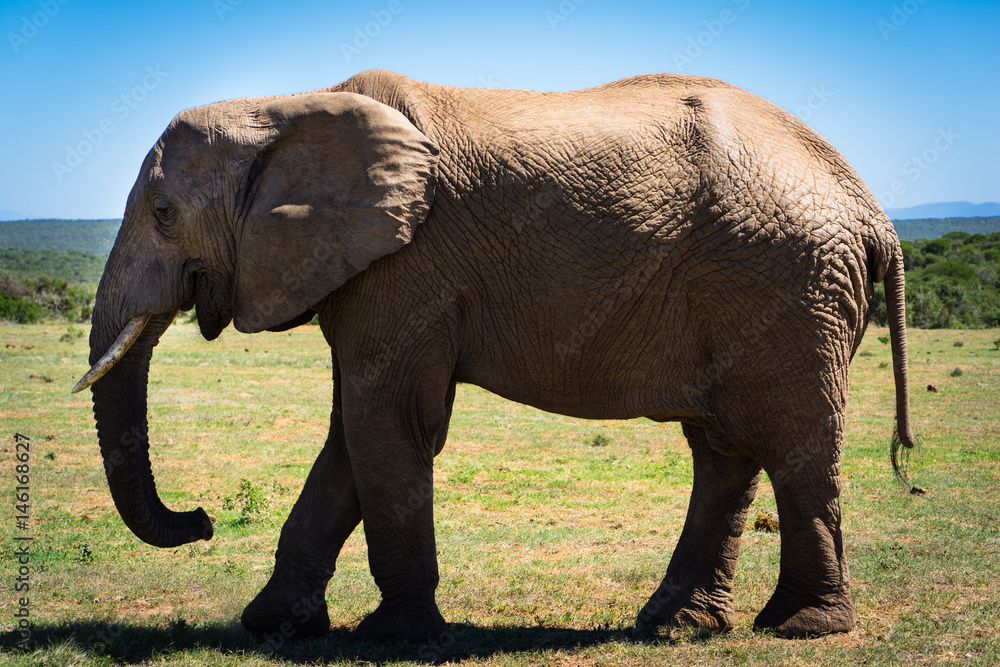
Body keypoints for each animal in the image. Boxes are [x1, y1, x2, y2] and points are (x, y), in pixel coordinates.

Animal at [75, 69, 917, 642]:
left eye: (163, 212)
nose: (203, 519)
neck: (286, 105)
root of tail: (872, 209)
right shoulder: (376, 270)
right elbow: (354, 435)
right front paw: (275, 626)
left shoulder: (408, 263)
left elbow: (388, 425)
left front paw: (394, 637)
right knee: (724, 449)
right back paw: (673, 623)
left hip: (787, 285)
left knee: (794, 443)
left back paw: (802, 626)